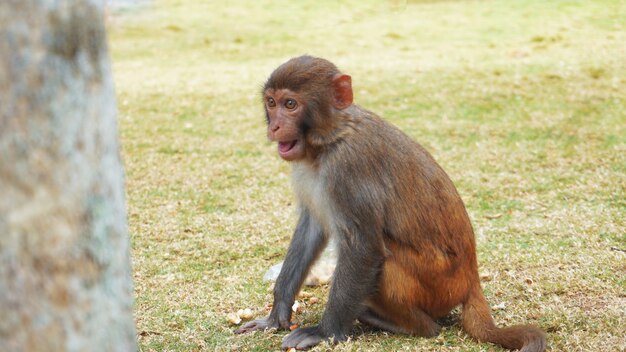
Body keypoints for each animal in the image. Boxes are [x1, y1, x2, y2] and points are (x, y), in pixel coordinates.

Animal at [236, 55, 544, 352]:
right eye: (271, 102)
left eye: (290, 104)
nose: (275, 126)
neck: (330, 140)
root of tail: (471, 280)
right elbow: (311, 229)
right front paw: (276, 315)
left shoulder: (350, 169)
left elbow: (363, 247)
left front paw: (325, 332)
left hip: (438, 285)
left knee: (387, 258)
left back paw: (414, 325)